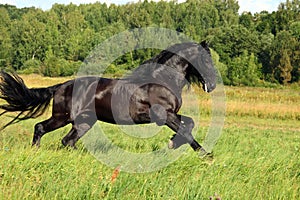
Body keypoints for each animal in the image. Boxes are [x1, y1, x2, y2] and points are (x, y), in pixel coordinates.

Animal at [0, 40, 216, 153]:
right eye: (206, 59)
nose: (212, 85)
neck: (161, 80)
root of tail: (62, 86)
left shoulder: (169, 115)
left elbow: (189, 123)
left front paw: (173, 142)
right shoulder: (165, 115)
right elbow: (187, 130)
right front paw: (205, 155)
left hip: (84, 122)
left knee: (68, 141)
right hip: (62, 117)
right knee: (40, 128)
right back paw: (34, 150)